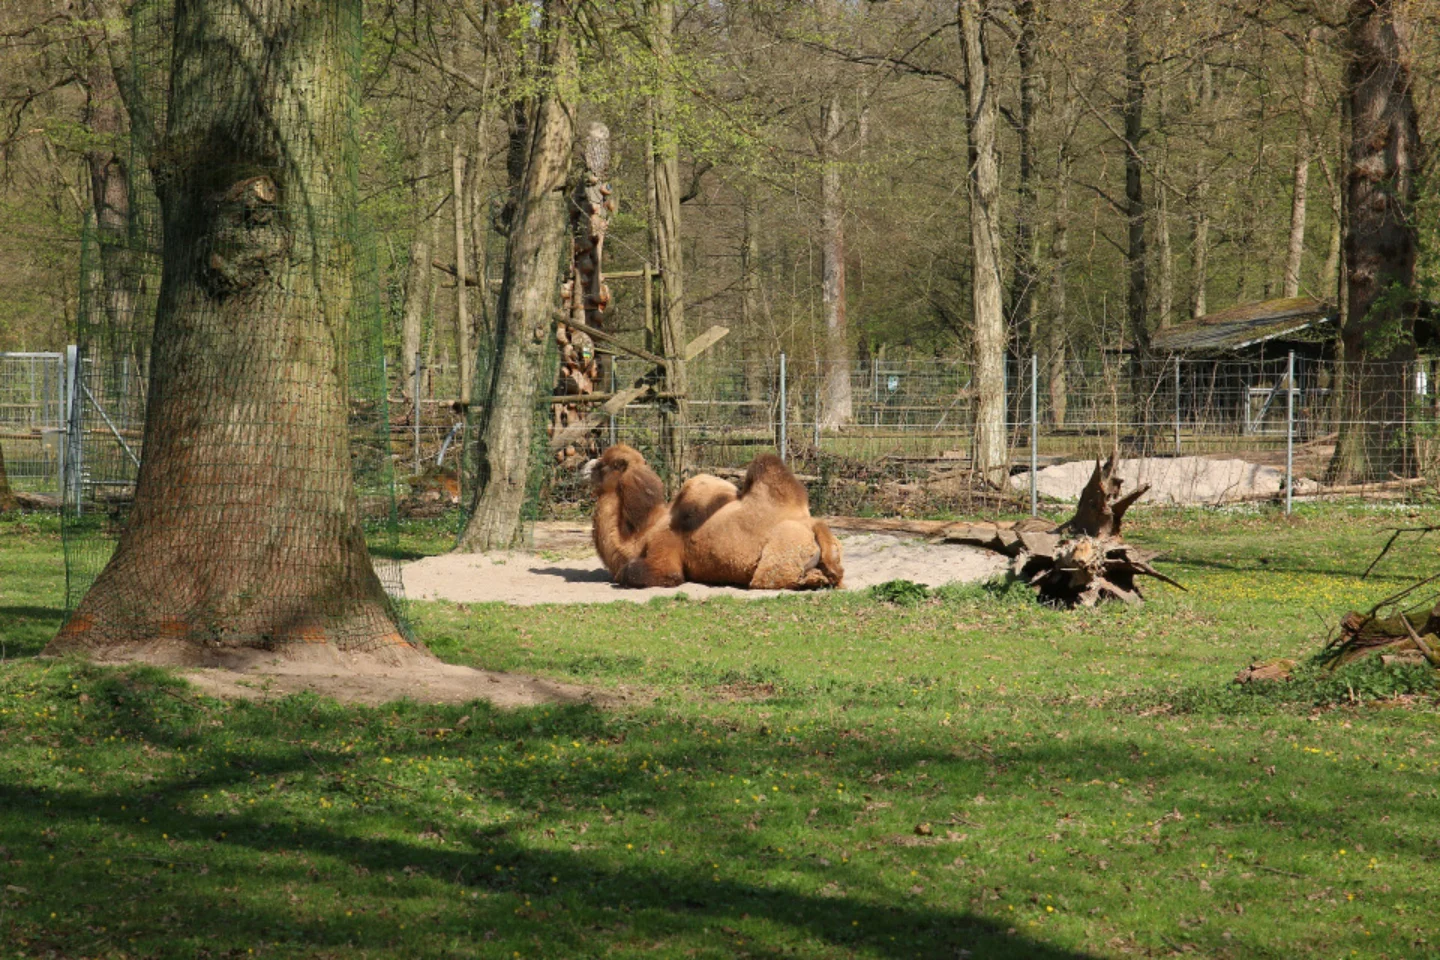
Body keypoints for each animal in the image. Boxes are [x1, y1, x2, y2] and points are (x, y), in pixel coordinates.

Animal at [584, 446, 840, 592]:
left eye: (603, 465)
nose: (584, 467)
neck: (643, 533)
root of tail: (815, 527)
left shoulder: (664, 550)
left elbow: (632, 572)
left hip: (781, 552)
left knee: (767, 579)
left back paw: (814, 580)